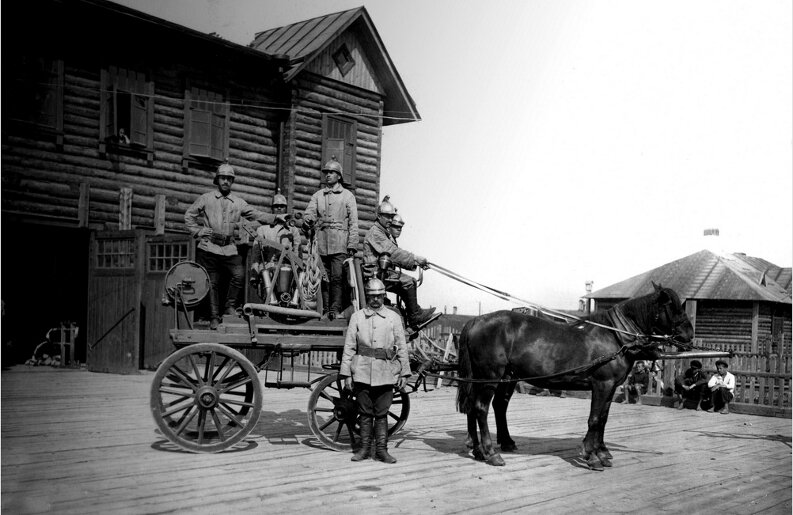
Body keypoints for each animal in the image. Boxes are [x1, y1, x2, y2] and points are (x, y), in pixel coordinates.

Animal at [454, 284, 688, 470]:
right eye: (671, 306)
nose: (688, 334)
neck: (614, 336)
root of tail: (477, 320)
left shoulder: (611, 387)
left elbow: (603, 418)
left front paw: (601, 452)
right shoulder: (602, 385)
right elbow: (595, 419)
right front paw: (592, 456)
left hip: (495, 378)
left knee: (482, 406)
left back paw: (482, 449)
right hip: (489, 377)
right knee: (480, 409)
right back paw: (491, 453)